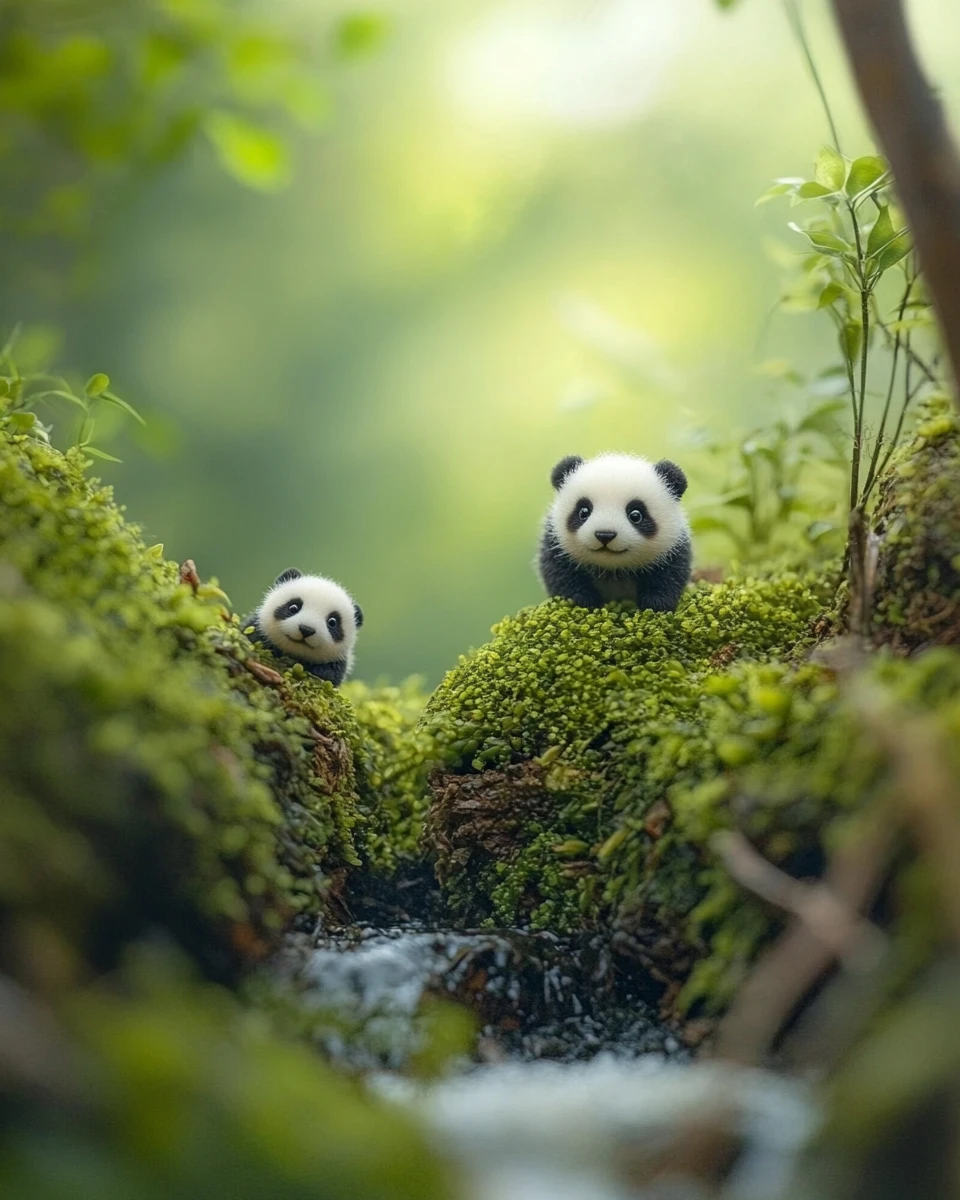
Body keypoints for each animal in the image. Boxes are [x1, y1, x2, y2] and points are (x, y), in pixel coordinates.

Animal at [537, 453, 692, 611]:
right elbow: (559, 573)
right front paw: (582, 599)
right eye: (583, 511)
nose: (604, 535)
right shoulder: (556, 542)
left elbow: (671, 573)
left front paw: (657, 602)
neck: (612, 570)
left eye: (635, 515)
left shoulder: (672, 545)